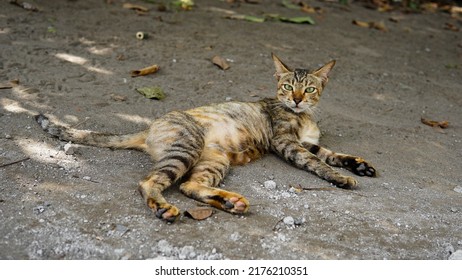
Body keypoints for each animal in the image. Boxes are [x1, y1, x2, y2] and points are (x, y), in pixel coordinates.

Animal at [35, 53, 376, 222]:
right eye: (287, 87)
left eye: (310, 89)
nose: (296, 100)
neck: (303, 116)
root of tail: (150, 126)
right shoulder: (286, 142)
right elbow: (317, 163)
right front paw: (340, 177)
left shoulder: (307, 142)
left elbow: (330, 153)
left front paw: (357, 165)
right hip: (187, 147)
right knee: (149, 182)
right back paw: (164, 209)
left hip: (214, 160)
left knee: (189, 186)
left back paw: (230, 202)